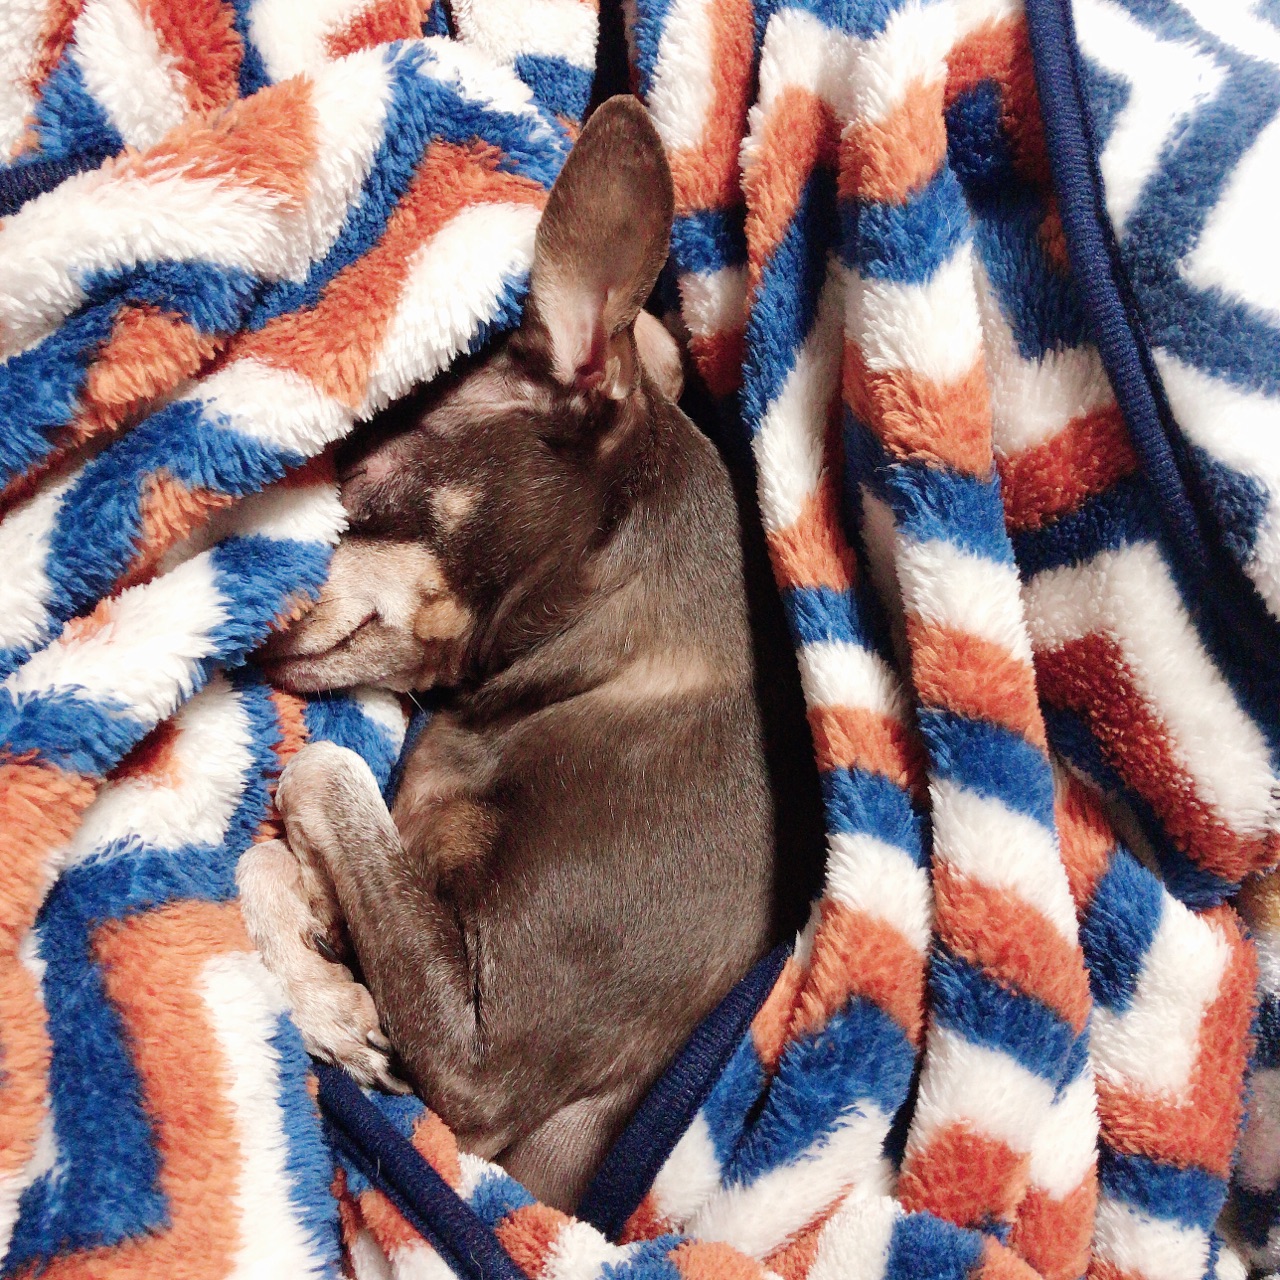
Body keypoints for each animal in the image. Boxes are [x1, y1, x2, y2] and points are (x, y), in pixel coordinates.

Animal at [239, 97, 816, 1211]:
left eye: (361, 477)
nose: (244, 601)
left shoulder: (480, 1066)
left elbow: (320, 770)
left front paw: (325, 995)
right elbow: (274, 849)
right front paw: (325, 993)